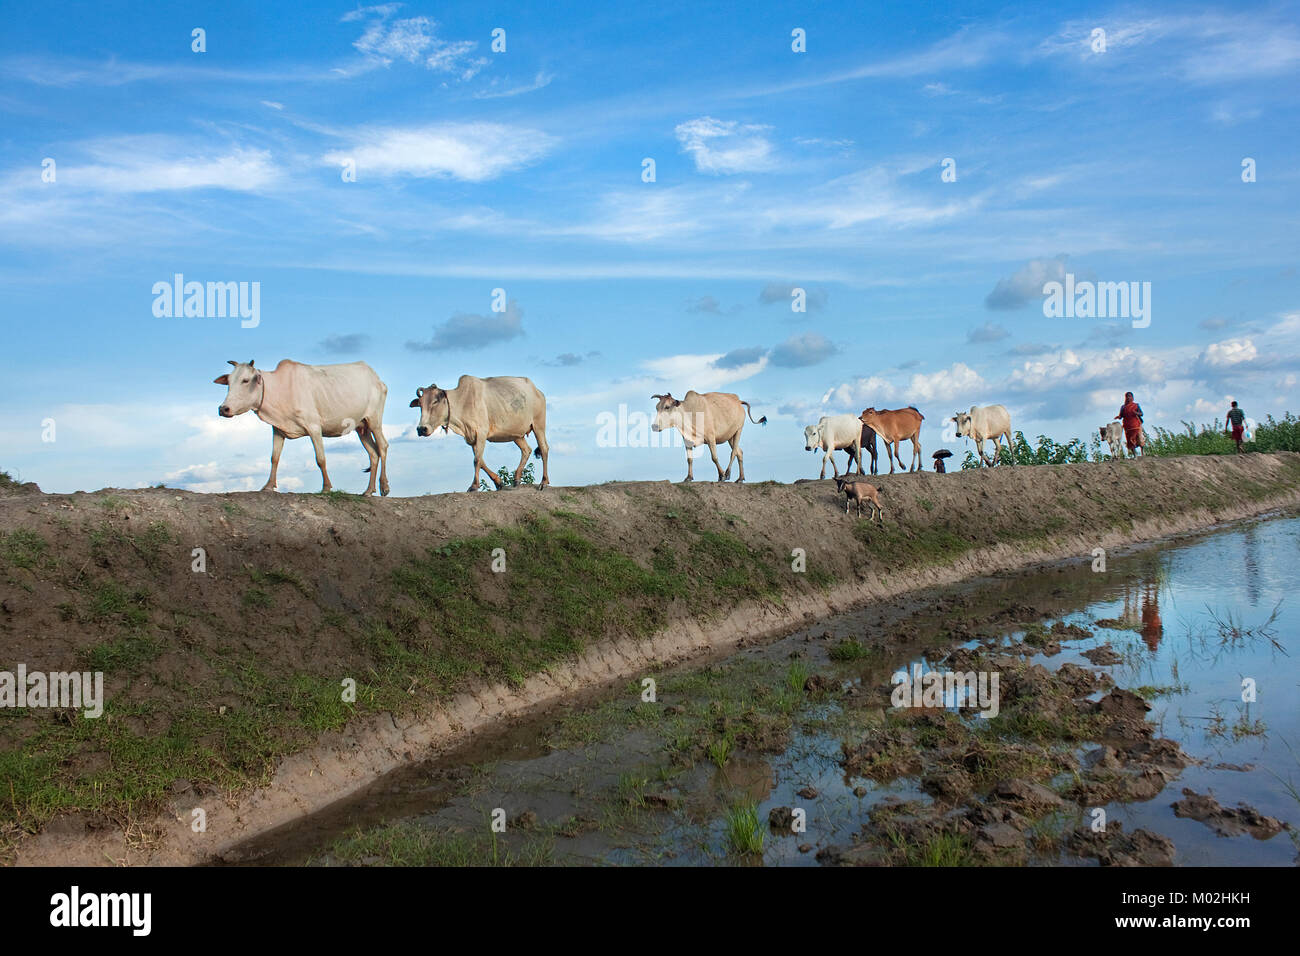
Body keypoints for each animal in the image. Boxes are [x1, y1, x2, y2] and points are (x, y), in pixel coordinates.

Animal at [215, 356, 387, 496]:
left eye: (245, 380)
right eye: (228, 382)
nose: (223, 409)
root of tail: (376, 377)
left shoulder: (314, 426)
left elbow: (320, 458)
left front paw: (326, 487)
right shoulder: (278, 429)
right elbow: (274, 458)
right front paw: (268, 486)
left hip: (374, 420)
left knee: (382, 446)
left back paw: (384, 486)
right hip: (361, 427)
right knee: (373, 453)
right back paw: (368, 490)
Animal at [408, 374, 546, 494]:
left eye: (435, 401)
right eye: (420, 404)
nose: (421, 429)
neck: (462, 401)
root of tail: (537, 391)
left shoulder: (481, 433)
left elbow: (477, 460)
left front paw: (474, 486)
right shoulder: (471, 438)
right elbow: (481, 461)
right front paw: (498, 482)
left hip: (538, 426)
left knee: (544, 448)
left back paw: (543, 482)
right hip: (516, 434)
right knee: (526, 450)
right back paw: (516, 479)